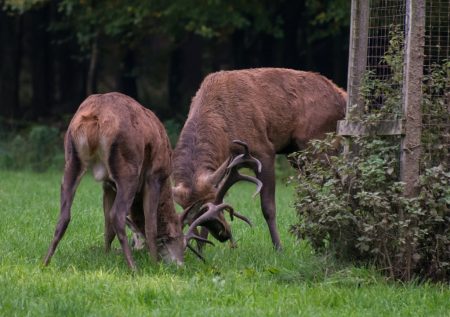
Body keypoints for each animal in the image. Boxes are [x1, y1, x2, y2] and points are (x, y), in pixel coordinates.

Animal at [44, 92, 185, 270]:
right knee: (117, 215)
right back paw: (134, 268)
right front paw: (155, 264)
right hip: (128, 167)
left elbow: (107, 225)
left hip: (71, 159)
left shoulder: (107, 185)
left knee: (64, 216)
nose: (181, 263)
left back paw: (44, 263)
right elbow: (150, 225)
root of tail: (94, 116)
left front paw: (106, 256)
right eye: (181, 239)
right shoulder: (154, 175)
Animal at [172, 68, 348, 251]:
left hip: (319, 143)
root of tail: (342, 96)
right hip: (298, 154)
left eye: (211, 202)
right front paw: (202, 248)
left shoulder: (264, 151)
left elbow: (268, 208)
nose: (223, 234)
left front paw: (279, 248)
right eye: (187, 211)